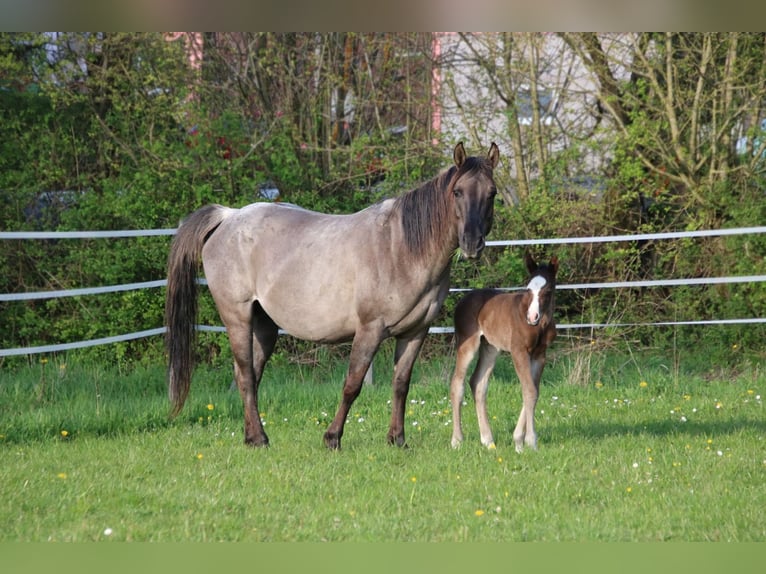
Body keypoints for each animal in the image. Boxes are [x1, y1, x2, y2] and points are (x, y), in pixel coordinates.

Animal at [165, 142, 500, 449]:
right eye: (458, 192)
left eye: (492, 193)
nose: (472, 243)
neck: (401, 249)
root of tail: (228, 216)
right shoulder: (369, 329)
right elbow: (352, 385)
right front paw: (332, 438)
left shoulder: (415, 332)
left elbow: (401, 384)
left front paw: (397, 440)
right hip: (238, 318)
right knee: (246, 375)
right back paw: (259, 439)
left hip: (264, 325)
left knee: (248, 375)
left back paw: (252, 436)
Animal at [449, 253, 558, 452]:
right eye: (528, 290)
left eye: (547, 291)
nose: (532, 317)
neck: (540, 326)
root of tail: (462, 300)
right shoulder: (518, 351)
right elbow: (529, 390)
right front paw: (529, 441)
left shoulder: (540, 354)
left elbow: (533, 391)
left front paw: (519, 441)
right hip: (467, 344)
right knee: (457, 384)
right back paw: (457, 440)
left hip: (490, 347)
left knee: (478, 383)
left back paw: (487, 440)